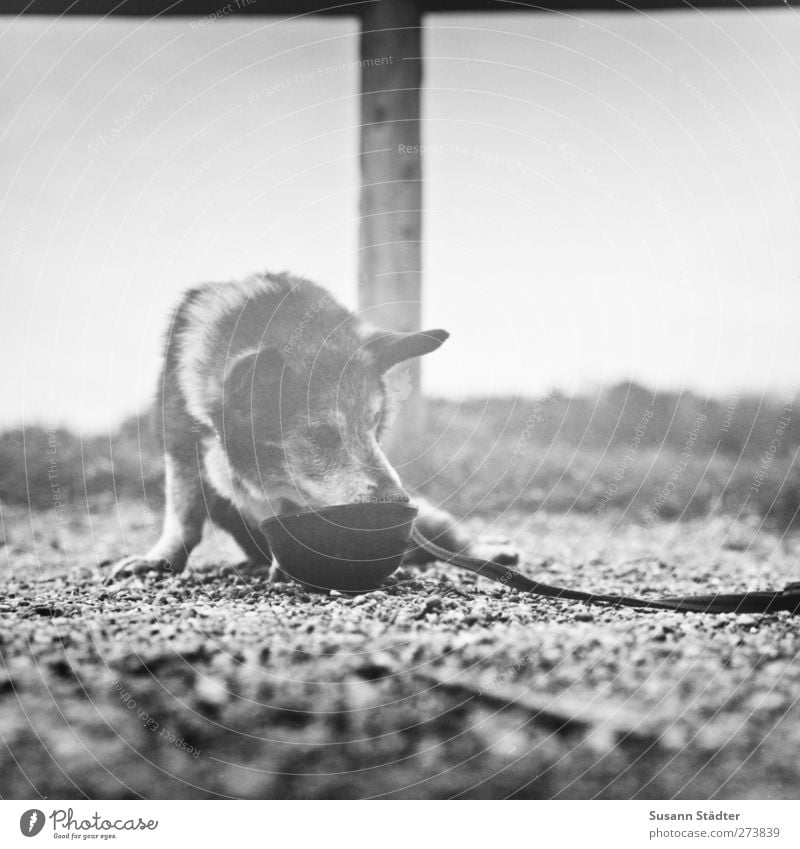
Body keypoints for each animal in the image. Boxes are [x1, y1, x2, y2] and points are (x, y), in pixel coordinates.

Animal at [109, 274, 512, 584]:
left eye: (374, 426)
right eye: (320, 436)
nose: (398, 500)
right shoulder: (182, 446)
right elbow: (184, 515)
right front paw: (159, 560)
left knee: (448, 537)